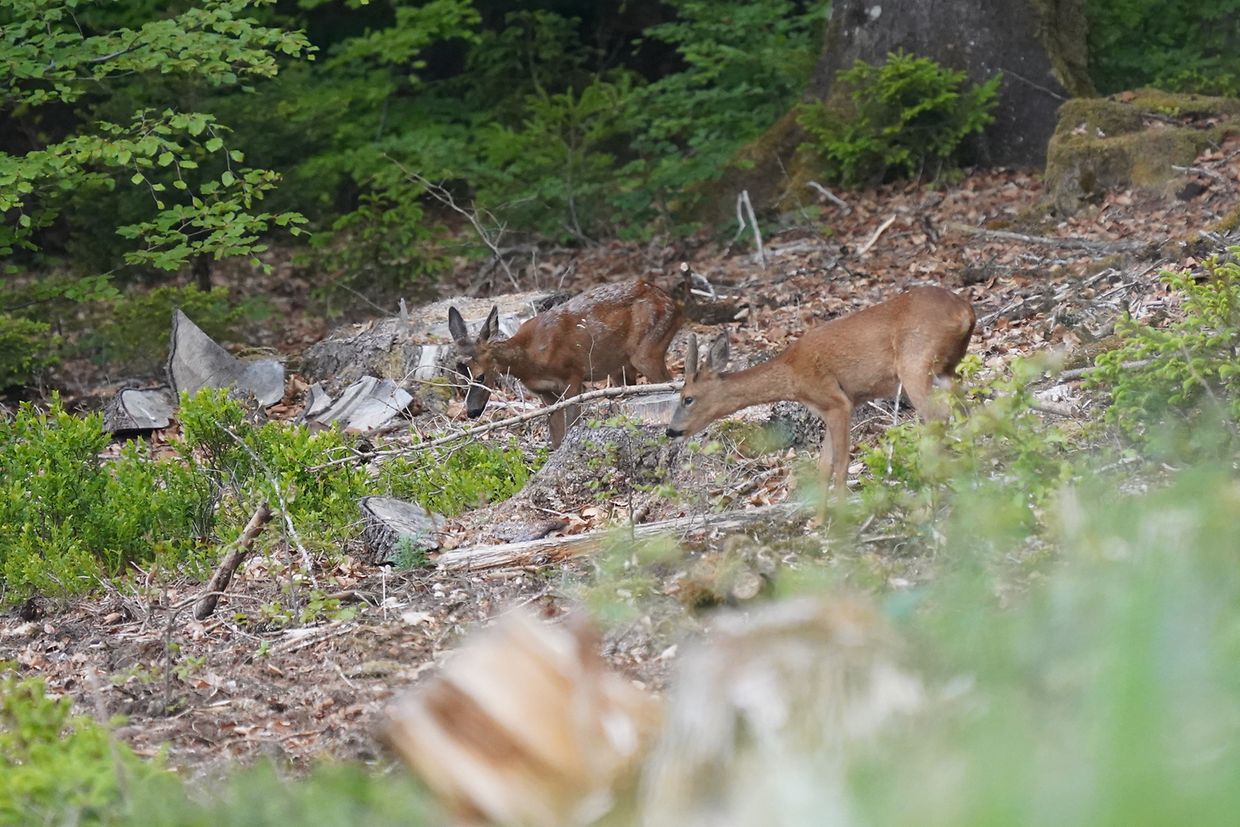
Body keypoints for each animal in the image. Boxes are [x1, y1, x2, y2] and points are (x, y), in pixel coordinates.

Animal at [448, 279, 684, 448]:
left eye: (480, 376)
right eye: (460, 378)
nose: (472, 411)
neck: (529, 360)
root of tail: (674, 303)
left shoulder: (573, 376)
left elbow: (572, 426)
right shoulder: (545, 393)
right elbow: (556, 437)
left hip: (647, 349)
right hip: (621, 368)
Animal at [665, 286, 976, 489]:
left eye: (687, 398)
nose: (671, 431)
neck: (791, 375)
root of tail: (966, 311)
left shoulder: (837, 401)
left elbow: (840, 465)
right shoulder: (828, 408)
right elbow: (824, 466)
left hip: (915, 364)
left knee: (938, 416)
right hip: (948, 369)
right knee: (968, 410)